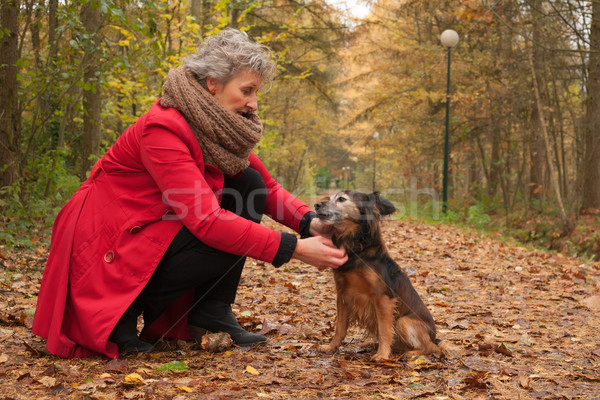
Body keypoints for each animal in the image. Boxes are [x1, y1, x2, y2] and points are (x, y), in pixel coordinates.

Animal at [314, 191, 440, 362]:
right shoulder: (343, 295)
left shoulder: (383, 298)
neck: (357, 251)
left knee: (431, 347)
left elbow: (385, 330)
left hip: (404, 322)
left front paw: (382, 354)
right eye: (329, 197)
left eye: (341, 199)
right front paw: (331, 347)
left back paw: (412, 353)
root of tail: (434, 336)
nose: (316, 205)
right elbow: (340, 327)